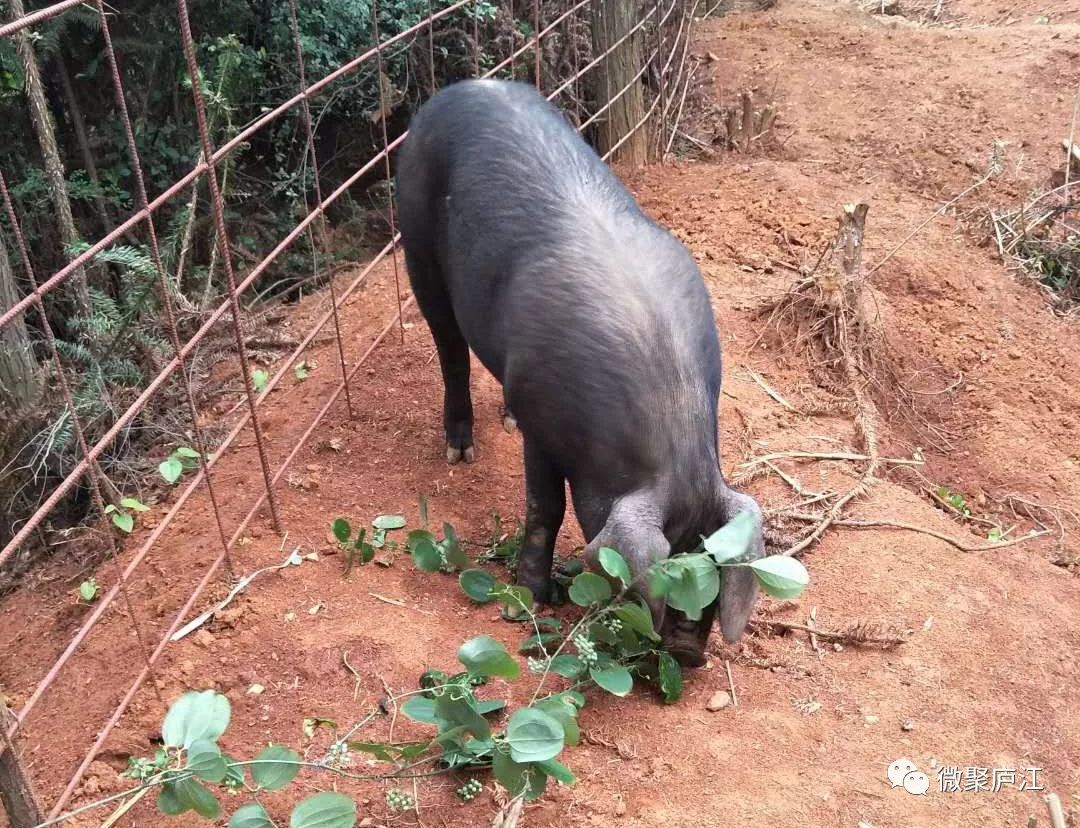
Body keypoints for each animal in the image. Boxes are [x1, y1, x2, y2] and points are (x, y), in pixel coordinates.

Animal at [395, 76, 760, 660]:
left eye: (712, 566)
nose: (686, 650)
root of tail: (464, 85)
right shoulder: (543, 422)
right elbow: (546, 508)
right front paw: (526, 601)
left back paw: (502, 421)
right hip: (417, 244)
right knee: (449, 350)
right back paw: (460, 451)